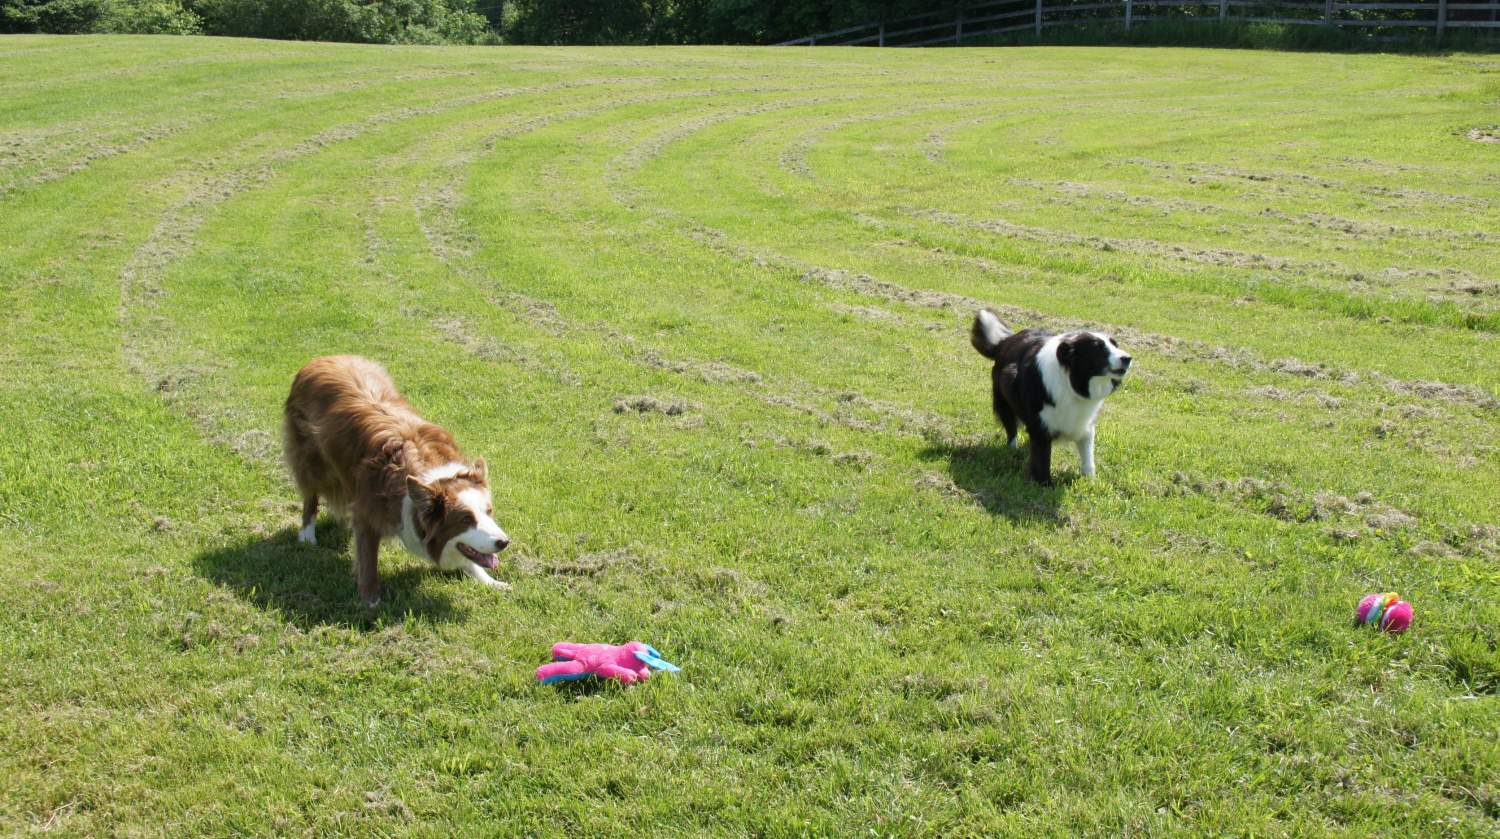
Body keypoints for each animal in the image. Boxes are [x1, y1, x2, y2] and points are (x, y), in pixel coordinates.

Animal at [283, 354, 513, 603]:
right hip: (311, 461)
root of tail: (323, 358)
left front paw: (491, 582)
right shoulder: (368, 513)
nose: (504, 542)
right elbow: (368, 562)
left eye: (488, 511)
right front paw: (370, 601)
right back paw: (307, 534)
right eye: (465, 519)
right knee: (310, 495)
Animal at [966, 310, 1128, 486]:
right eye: (1097, 347)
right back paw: (1012, 450)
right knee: (1011, 429)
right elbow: (1042, 458)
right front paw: (1045, 485)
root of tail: (1006, 341)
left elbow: (1088, 457)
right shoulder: (1041, 426)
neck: (1071, 382)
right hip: (1004, 400)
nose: (1127, 358)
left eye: (1115, 345)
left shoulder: (1085, 423)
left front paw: (1090, 480)